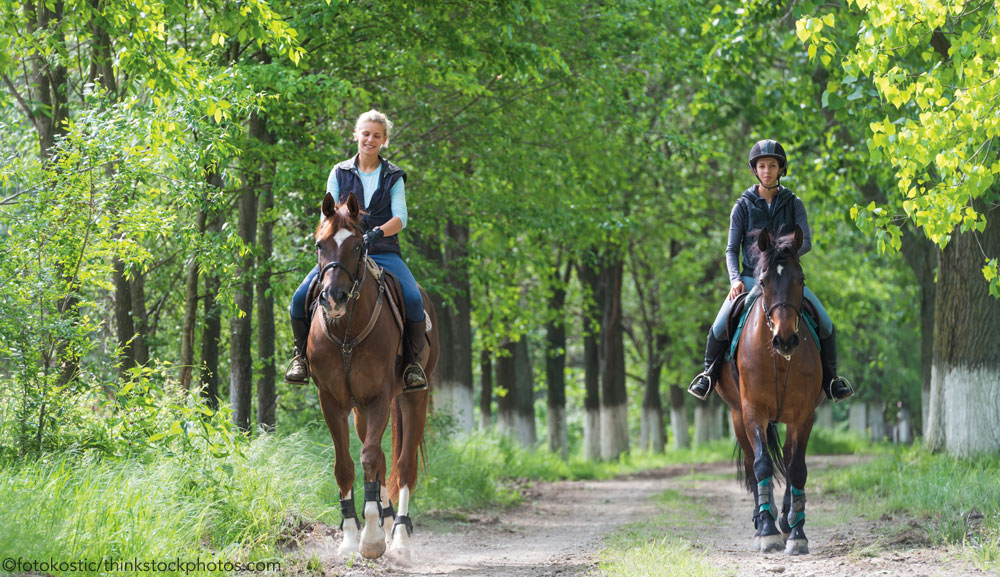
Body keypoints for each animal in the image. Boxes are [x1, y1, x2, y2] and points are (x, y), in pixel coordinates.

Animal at [308, 191, 438, 560]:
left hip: (412, 398)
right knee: (380, 459)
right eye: (320, 244)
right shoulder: (332, 401)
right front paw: (351, 537)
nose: (333, 298)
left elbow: (369, 457)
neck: (346, 331)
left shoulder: (380, 397)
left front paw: (371, 540)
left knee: (404, 465)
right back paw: (386, 519)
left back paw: (400, 538)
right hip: (359, 411)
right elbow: (345, 465)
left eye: (356, 246)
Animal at [716, 225, 824, 552]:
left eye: (800, 280)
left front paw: (797, 533)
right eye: (763, 282)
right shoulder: (753, 412)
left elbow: (796, 467)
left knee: (787, 461)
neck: (778, 360)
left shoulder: (803, 415)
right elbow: (762, 465)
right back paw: (763, 517)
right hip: (737, 416)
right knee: (752, 464)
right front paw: (766, 531)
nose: (785, 339)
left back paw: (786, 519)